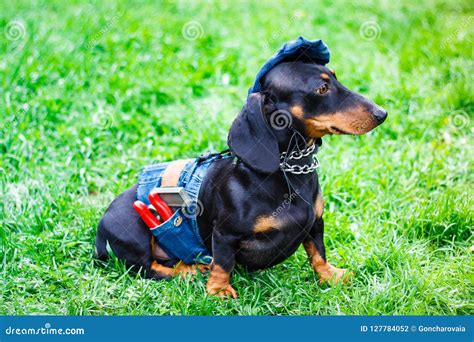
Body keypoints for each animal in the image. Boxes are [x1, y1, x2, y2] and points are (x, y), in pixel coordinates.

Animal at [94, 60, 386, 298]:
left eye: (335, 77)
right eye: (322, 89)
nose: (382, 113)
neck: (289, 172)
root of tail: (101, 226)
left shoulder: (316, 223)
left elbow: (318, 252)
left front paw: (331, 276)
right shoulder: (225, 234)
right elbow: (223, 263)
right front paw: (219, 290)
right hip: (134, 234)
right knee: (150, 269)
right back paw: (189, 270)